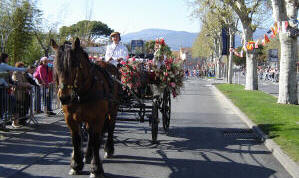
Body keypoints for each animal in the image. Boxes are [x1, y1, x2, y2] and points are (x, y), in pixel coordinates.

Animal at [49, 38, 119, 177]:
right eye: (55, 66)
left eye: (74, 65)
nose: (64, 97)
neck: (83, 92)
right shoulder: (70, 119)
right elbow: (77, 140)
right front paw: (76, 165)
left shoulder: (97, 118)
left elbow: (96, 140)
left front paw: (96, 169)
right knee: (89, 133)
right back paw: (87, 155)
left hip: (112, 111)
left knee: (110, 128)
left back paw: (108, 149)